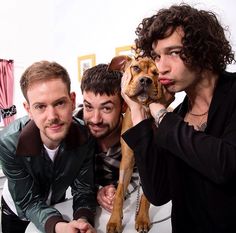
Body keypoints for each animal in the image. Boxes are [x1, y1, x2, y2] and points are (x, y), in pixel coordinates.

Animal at [106, 56, 162, 233]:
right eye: (136, 68)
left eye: (156, 73)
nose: (146, 80)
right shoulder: (127, 160)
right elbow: (118, 192)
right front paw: (114, 221)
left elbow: (146, 195)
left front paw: (142, 218)